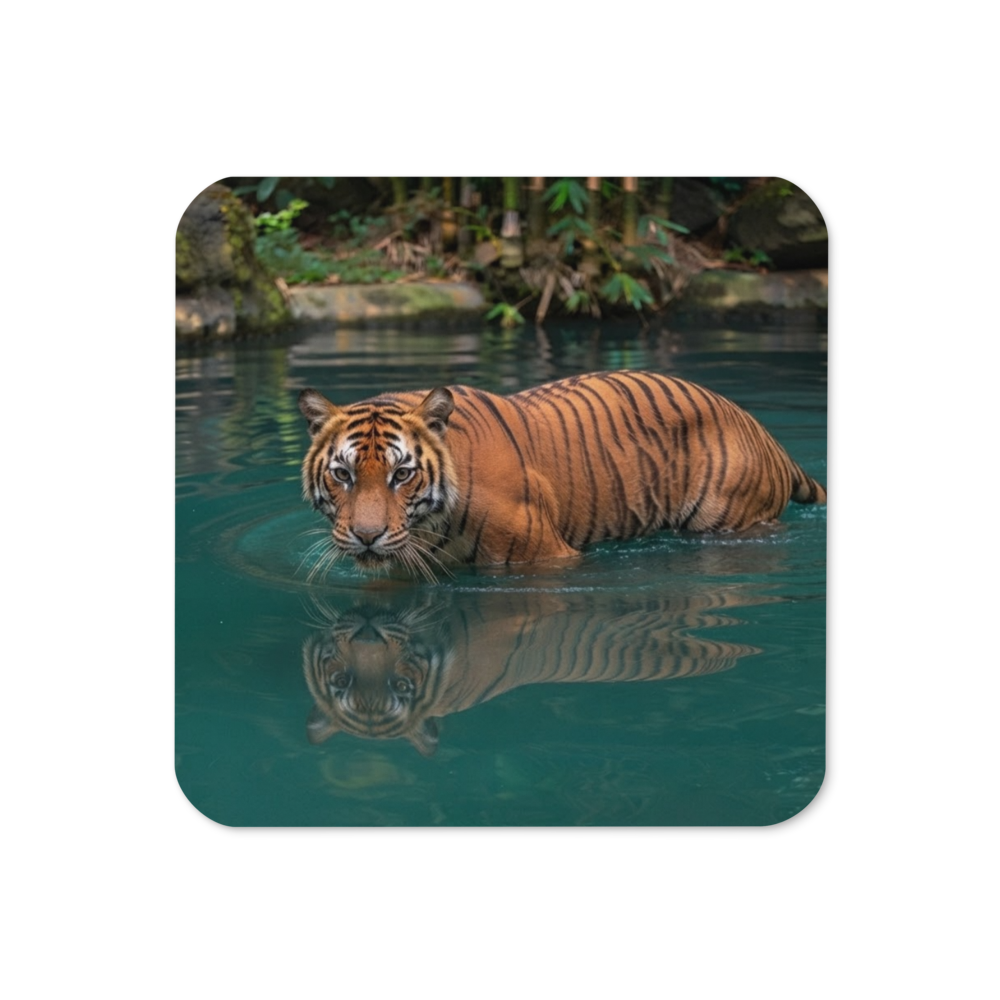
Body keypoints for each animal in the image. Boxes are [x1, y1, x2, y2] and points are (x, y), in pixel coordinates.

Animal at [298, 370, 827, 580]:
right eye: (343, 474)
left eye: (402, 474)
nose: (367, 537)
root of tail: (763, 431)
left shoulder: (547, 558)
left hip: (727, 520)